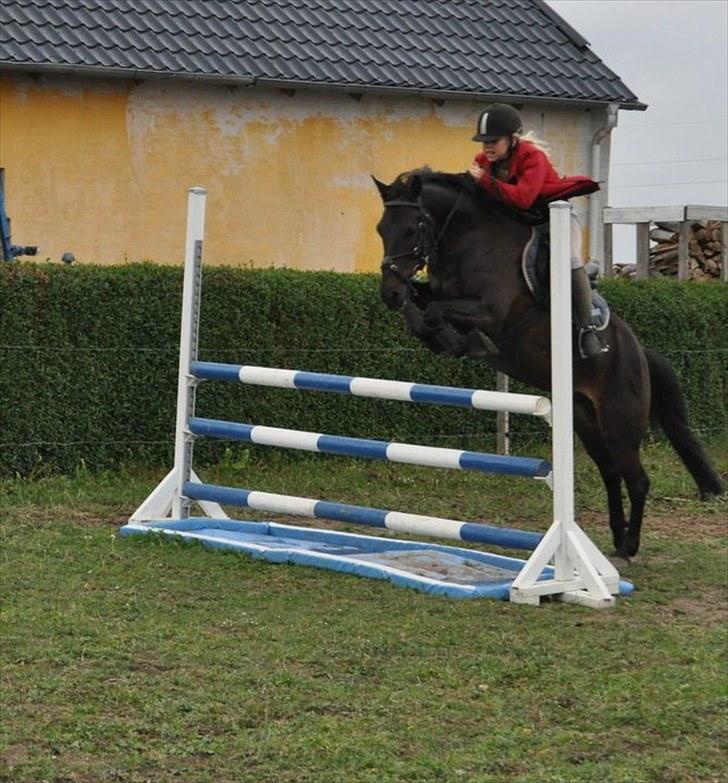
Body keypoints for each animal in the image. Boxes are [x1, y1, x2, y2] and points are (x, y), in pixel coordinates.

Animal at [372, 167, 724, 556]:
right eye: (380, 229)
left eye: (410, 229)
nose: (389, 293)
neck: (468, 240)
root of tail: (640, 354)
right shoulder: (437, 292)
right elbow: (424, 305)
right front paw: (430, 331)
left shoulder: (490, 312)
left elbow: (438, 310)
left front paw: (457, 340)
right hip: (585, 419)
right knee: (610, 472)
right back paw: (617, 536)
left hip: (619, 421)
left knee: (637, 479)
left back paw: (629, 545)